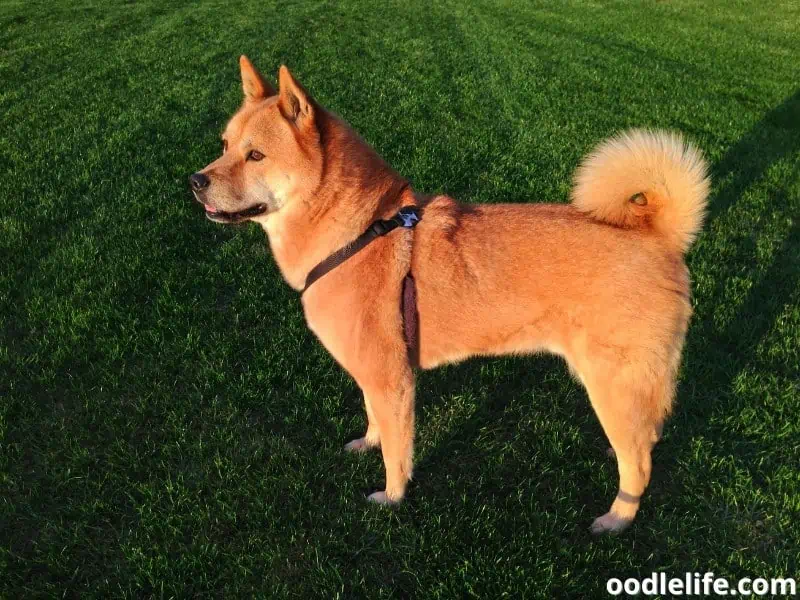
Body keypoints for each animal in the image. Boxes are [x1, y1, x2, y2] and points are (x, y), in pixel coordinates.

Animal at [191, 56, 708, 536]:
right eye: (225, 146)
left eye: (256, 155)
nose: (196, 181)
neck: (357, 234)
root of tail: (657, 232)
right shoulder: (374, 375)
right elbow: (374, 418)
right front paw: (368, 443)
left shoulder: (393, 379)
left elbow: (398, 450)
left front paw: (392, 496)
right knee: (646, 436)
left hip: (611, 379)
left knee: (639, 463)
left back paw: (617, 517)